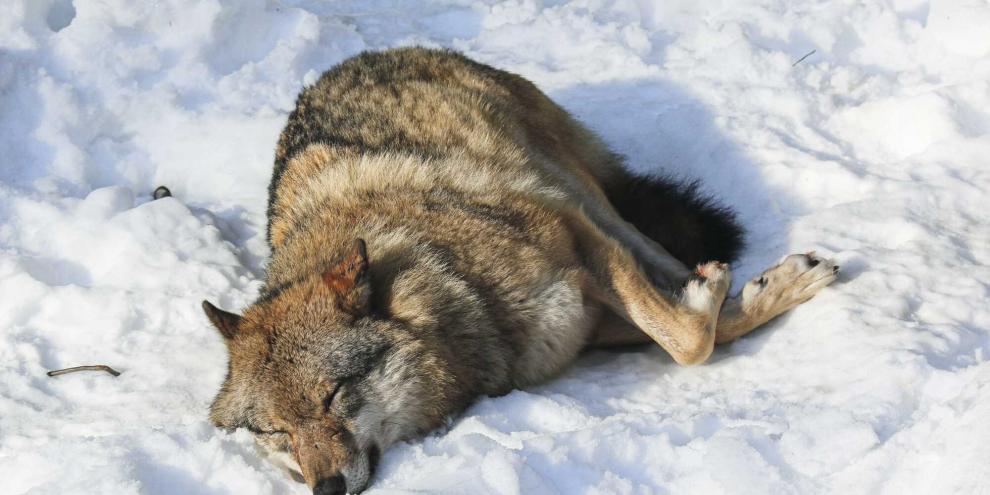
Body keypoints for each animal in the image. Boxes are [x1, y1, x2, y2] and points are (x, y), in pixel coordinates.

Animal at [205, 47, 840, 495]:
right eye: (276, 432)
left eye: (333, 396)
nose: (328, 490)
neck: (453, 284)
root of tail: (363, 56)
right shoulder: (584, 325)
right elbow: (693, 331)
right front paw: (749, 292)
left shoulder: (572, 231)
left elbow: (687, 340)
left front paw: (740, 289)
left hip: (572, 184)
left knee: (653, 244)